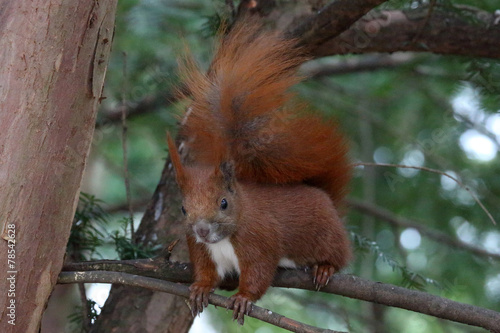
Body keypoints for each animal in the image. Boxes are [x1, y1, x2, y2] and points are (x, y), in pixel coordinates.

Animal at [168, 19, 352, 322]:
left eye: (224, 203)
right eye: (183, 209)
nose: (202, 230)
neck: (224, 238)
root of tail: (321, 194)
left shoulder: (260, 242)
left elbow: (258, 274)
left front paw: (243, 298)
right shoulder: (201, 250)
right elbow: (207, 273)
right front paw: (200, 288)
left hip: (326, 235)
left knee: (339, 256)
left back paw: (325, 267)